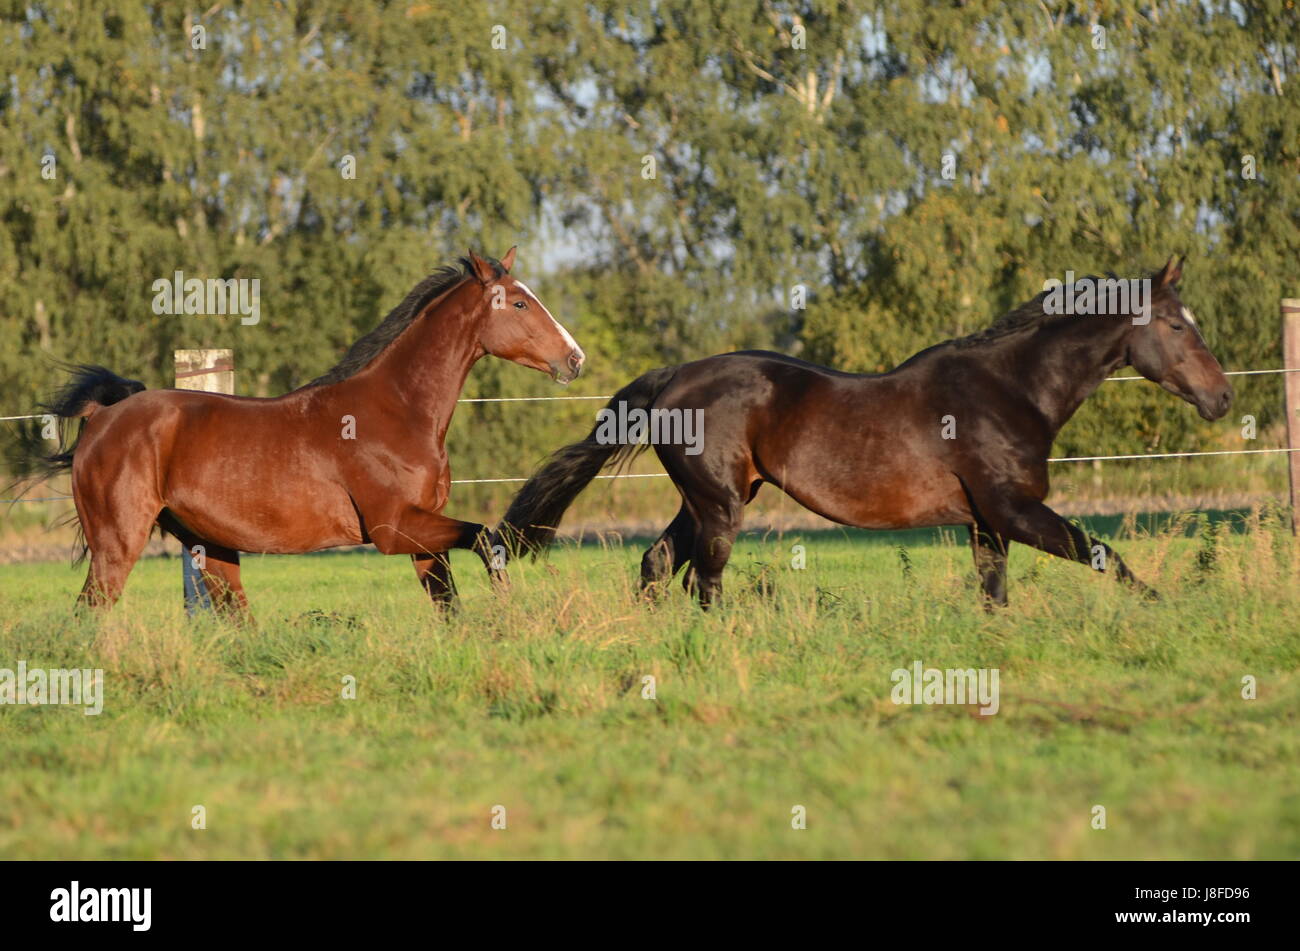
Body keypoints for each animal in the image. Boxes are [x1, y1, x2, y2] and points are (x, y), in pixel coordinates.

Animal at [21, 249, 585, 615]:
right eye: (519, 303)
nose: (575, 359)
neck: (397, 411)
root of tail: (104, 415)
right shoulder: (393, 529)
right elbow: (487, 539)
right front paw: (507, 601)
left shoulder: (423, 534)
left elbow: (450, 606)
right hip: (117, 542)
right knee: (91, 612)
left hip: (210, 547)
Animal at [496, 255, 1227, 605]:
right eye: (1175, 324)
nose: (1221, 397)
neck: (1011, 390)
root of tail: (672, 379)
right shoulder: (1015, 511)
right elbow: (1106, 555)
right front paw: (1165, 609)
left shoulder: (986, 523)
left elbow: (995, 594)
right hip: (720, 505)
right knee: (704, 576)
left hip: (707, 498)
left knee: (656, 563)